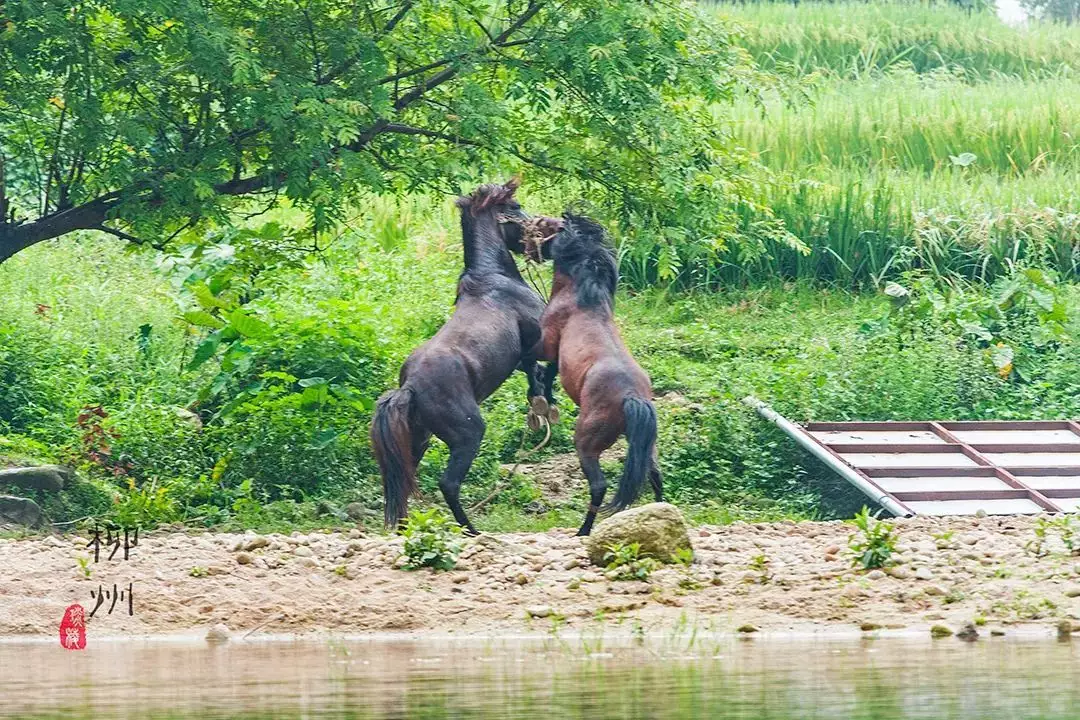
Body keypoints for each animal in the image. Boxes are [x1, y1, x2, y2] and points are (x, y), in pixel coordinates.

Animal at [373, 178, 557, 533]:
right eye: (516, 208)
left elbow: (533, 371)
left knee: (402, 481)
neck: (492, 276)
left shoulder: (521, 355)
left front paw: (540, 401)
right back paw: (472, 531)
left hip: (419, 439)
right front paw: (546, 400)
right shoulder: (540, 334)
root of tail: (409, 388)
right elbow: (548, 365)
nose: (551, 231)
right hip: (468, 434)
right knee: (448, 483)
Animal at [529, 212, 656, 535]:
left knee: (599, 486)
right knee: (655, 475)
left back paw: (583, 531)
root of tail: (633, 397)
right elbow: (550, 374)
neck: (582, 297)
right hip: (645, 446)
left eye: (544, 227)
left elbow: (532, 362)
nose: (530, 250)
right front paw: (548, 399)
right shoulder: (557, 356)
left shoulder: (545, 344)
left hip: (587, 444)